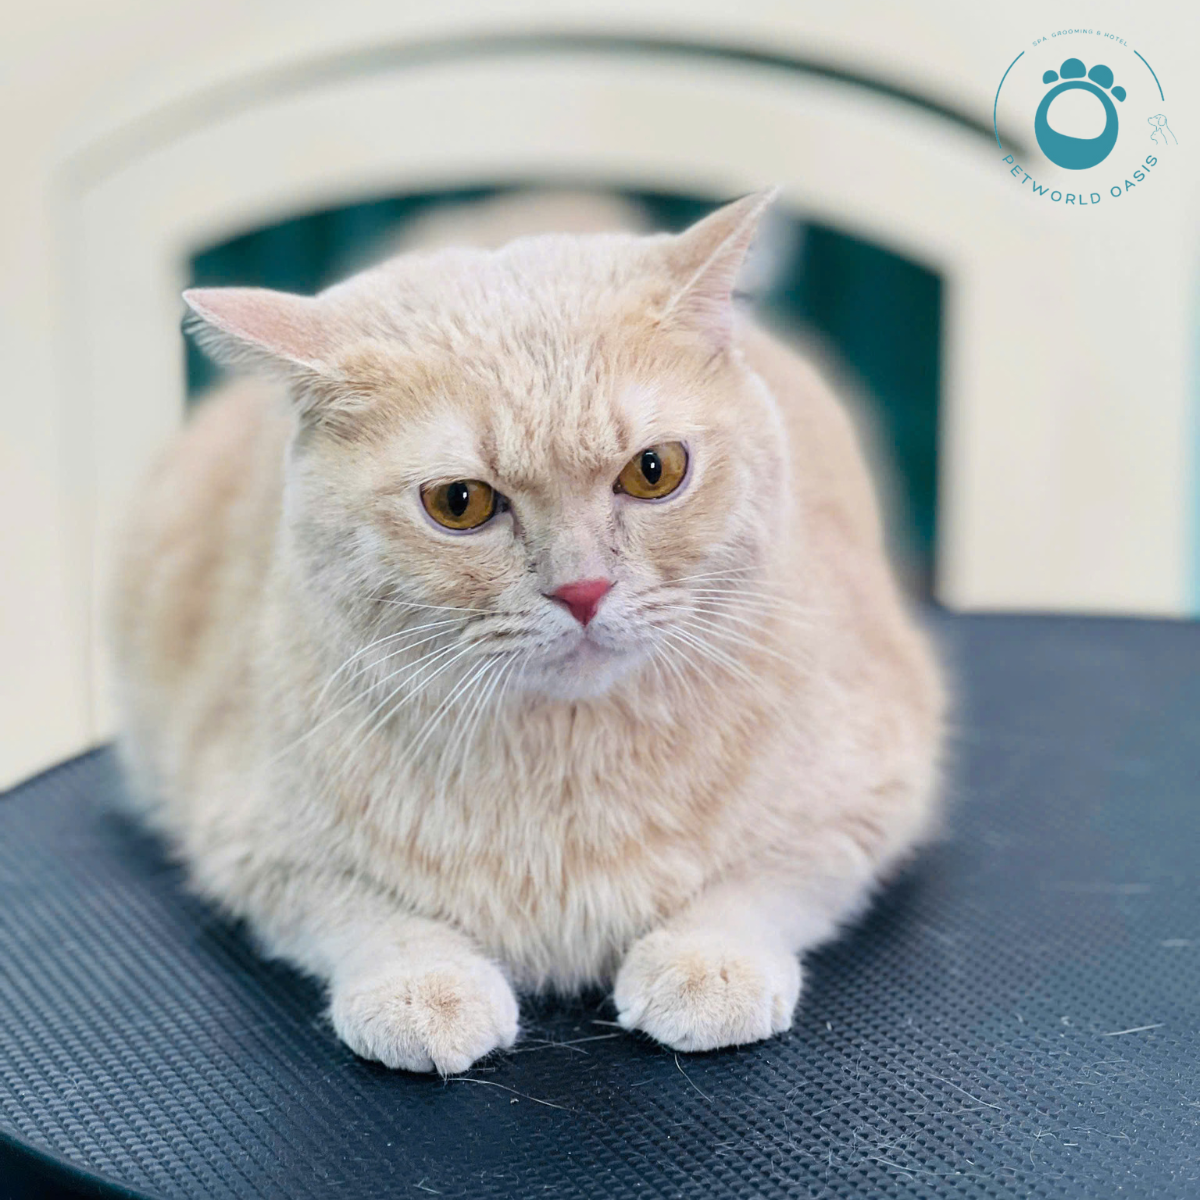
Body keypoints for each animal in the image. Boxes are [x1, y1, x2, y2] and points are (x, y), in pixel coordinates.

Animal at [107, 190, 944, 1075]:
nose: (582, 589)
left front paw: (707, 961)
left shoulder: (870, 797)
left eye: (655, 471)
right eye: (459, 503)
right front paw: (423, 984)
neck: (566, 764)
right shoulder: (248, 839)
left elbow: (766, 883)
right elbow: (358, 911)